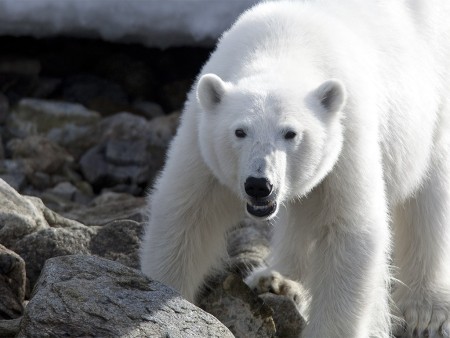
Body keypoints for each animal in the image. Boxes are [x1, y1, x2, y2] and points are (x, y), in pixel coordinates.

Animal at [142, 1, 450, 336]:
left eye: (290, 133)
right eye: (240, 131)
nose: (259, 184)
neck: (282, 46)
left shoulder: (346, 136)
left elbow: (349, 231)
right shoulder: (201, 138)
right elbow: (186, 214)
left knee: (429, 196)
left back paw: (427, 309)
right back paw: (276, 279)